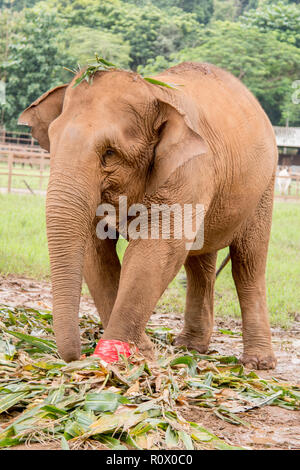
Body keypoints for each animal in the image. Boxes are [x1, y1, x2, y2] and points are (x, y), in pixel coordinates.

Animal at [18, 62, 278, 370]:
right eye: (52, 142)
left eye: (109, 153)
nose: (76, 356)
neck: (154, 91)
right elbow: (96, 251)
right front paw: (137, 353)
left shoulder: (189, 170)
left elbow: (155, 250)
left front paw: (126, 357)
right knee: (199, 264)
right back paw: (190, 346)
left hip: (265, 186)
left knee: (249, 261)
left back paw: (258, 363)